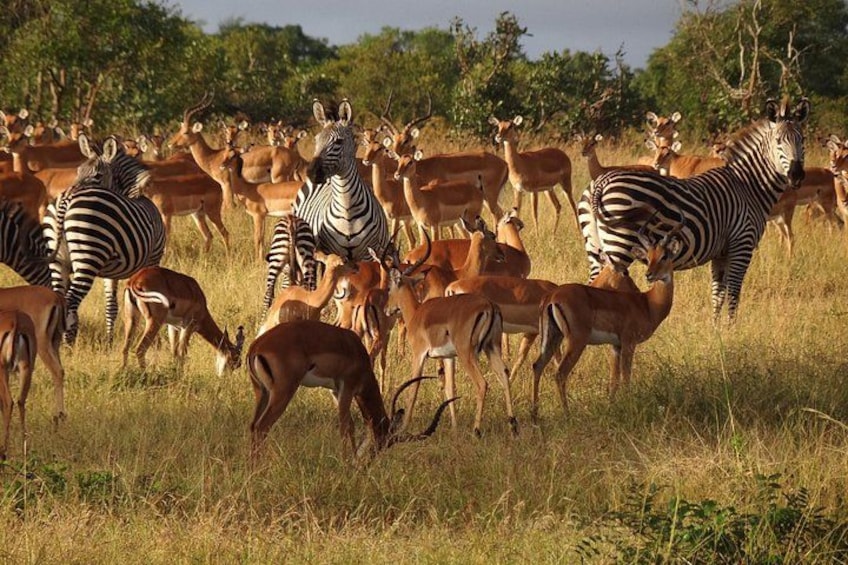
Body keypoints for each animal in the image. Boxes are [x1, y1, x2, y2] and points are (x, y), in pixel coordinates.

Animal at [45, 135, 165, 344]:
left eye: (98, 175)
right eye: (78, 171)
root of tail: (67, 198)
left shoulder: (112, 272)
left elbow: (111, 305)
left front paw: (109, 341)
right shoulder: (153, 259)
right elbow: (146, 300)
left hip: (59, 260)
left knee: (60, 297)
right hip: (88, 254)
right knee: (71, 300)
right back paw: (69, 343)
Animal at [292, 99, 389, 262]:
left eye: (338, 142)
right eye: (316, 140)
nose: (312, 173)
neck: (347, 208)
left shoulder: (368, 255)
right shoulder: (331, 253)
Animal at [581, 97, 809, 321]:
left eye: (803, 141)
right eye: (778, 141)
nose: (797, 175)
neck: (748, 185)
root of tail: (599, 183)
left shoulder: (721, 252)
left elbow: (718, 293)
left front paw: (716, 328)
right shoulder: (742, 244)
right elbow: (734, 294)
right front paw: (731, 328)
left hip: (595, 246)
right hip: (618, 247)